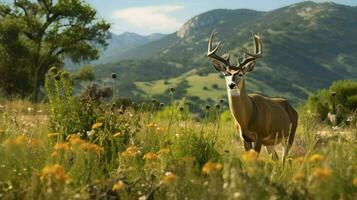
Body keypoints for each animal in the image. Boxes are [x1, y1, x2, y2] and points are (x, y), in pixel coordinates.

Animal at [206, 31, 298, 162]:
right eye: (226, 74)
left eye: (240, 73)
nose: (231, 84)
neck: (246, 119)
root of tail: (292, 108)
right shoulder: (244, 138)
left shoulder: (259, 135)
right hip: (269, 143)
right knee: (275, 159)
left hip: (290, 135)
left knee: (284, 159)